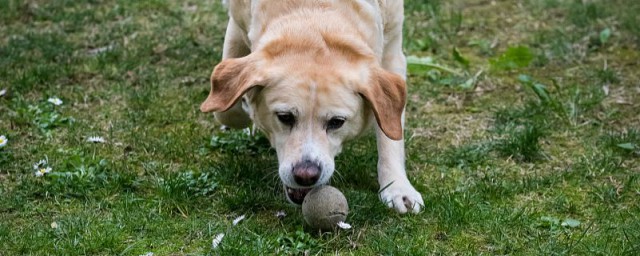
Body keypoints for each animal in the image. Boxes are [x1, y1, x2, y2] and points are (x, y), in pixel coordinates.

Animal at [202, 0, 422, 214]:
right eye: (285, 117)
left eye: (337, 122)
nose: (306, 175)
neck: (315, 15)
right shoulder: (236, 28)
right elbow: (226, 110)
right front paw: (247, 107)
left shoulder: (392, 53)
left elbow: (391, 133)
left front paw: (398, 187)